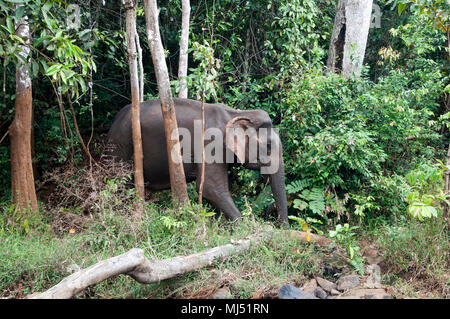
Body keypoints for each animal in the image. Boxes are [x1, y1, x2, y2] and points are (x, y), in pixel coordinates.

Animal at [105, 99, 288, 226]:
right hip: (121, 146)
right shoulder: (211, 145)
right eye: (269, 146)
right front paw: (247, 229)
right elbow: (211, 188)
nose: (281, 228)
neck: (237, 113)